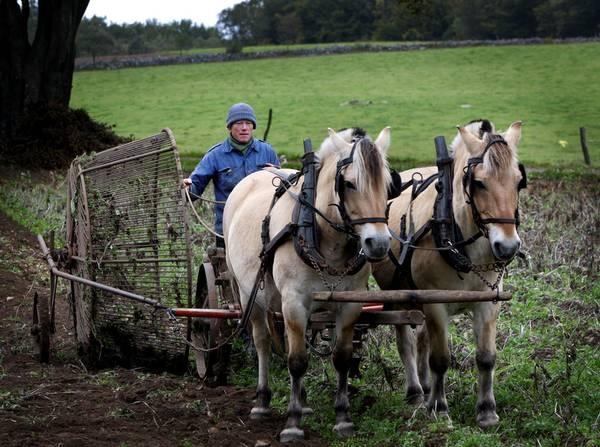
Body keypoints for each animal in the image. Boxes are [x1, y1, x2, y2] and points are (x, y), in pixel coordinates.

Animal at [225, 126, 394, 440]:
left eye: (388, 185)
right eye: (349, 184)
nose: (378, 244)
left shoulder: (351, 303)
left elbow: (341, 357)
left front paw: (342, 417)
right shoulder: (294, 301)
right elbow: (297, 361)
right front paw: (292, 424)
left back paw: (302, 402)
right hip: (247, 292)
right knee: (263, 342)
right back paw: (263, 401)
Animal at [376, 119, 524, 428]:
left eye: (519, 181)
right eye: (478, 183)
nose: (507, 246)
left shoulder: (488, 304)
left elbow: (486, 357)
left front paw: (487, 410)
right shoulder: (436, 304)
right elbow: (441, 358)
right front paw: (439, 408)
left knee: (422, 340)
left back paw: (426, 385)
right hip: (396, 294)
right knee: (406, 342)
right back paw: (416, 392)